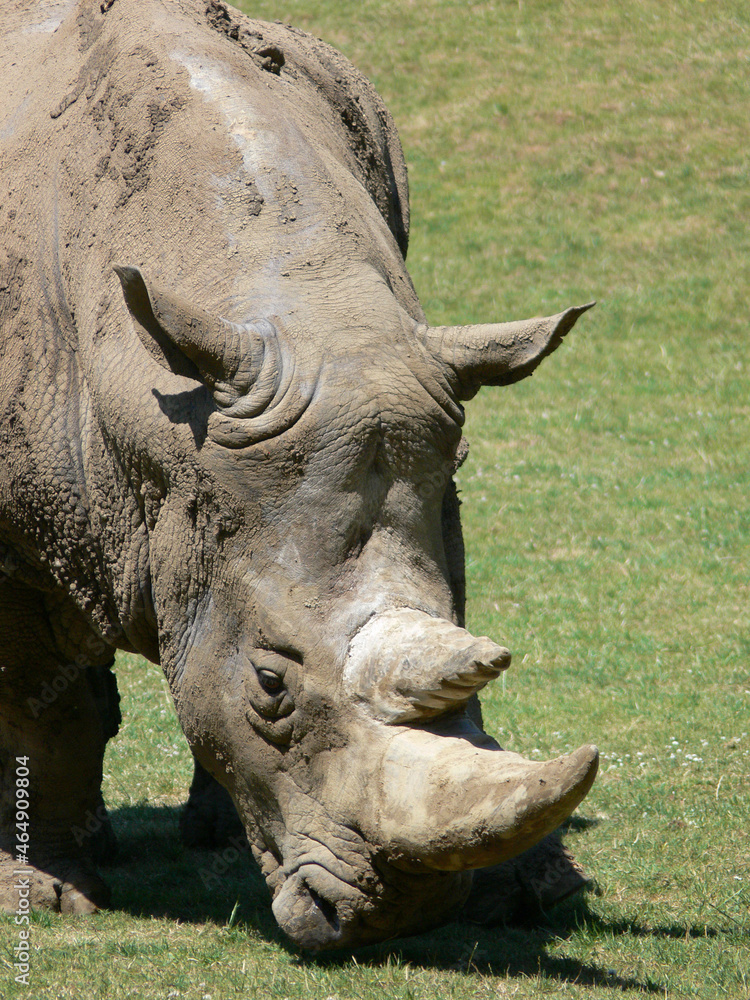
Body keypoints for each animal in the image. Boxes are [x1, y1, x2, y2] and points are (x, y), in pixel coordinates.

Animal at [0, 0, 597, 950]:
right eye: (270, 687)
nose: (401, 915)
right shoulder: (22, 532)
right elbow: (37, 701)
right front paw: (49, 895)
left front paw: (527, 892)